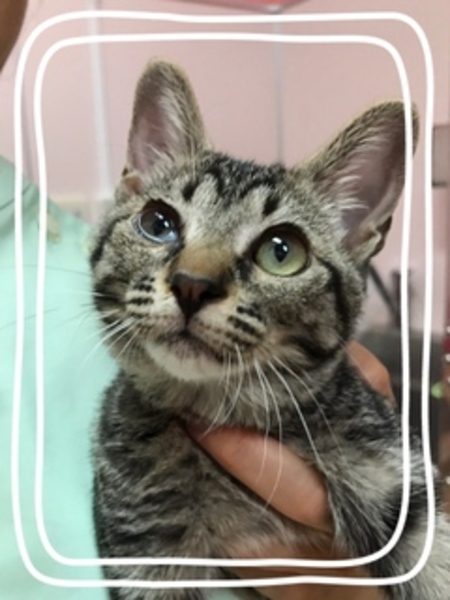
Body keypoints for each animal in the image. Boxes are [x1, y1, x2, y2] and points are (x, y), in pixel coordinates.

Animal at [90, 59, 450, 600]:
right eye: (157, 223)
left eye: (282, 251)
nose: (192, 284)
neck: (225, 405)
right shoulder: (144, 545)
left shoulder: (396, 473)